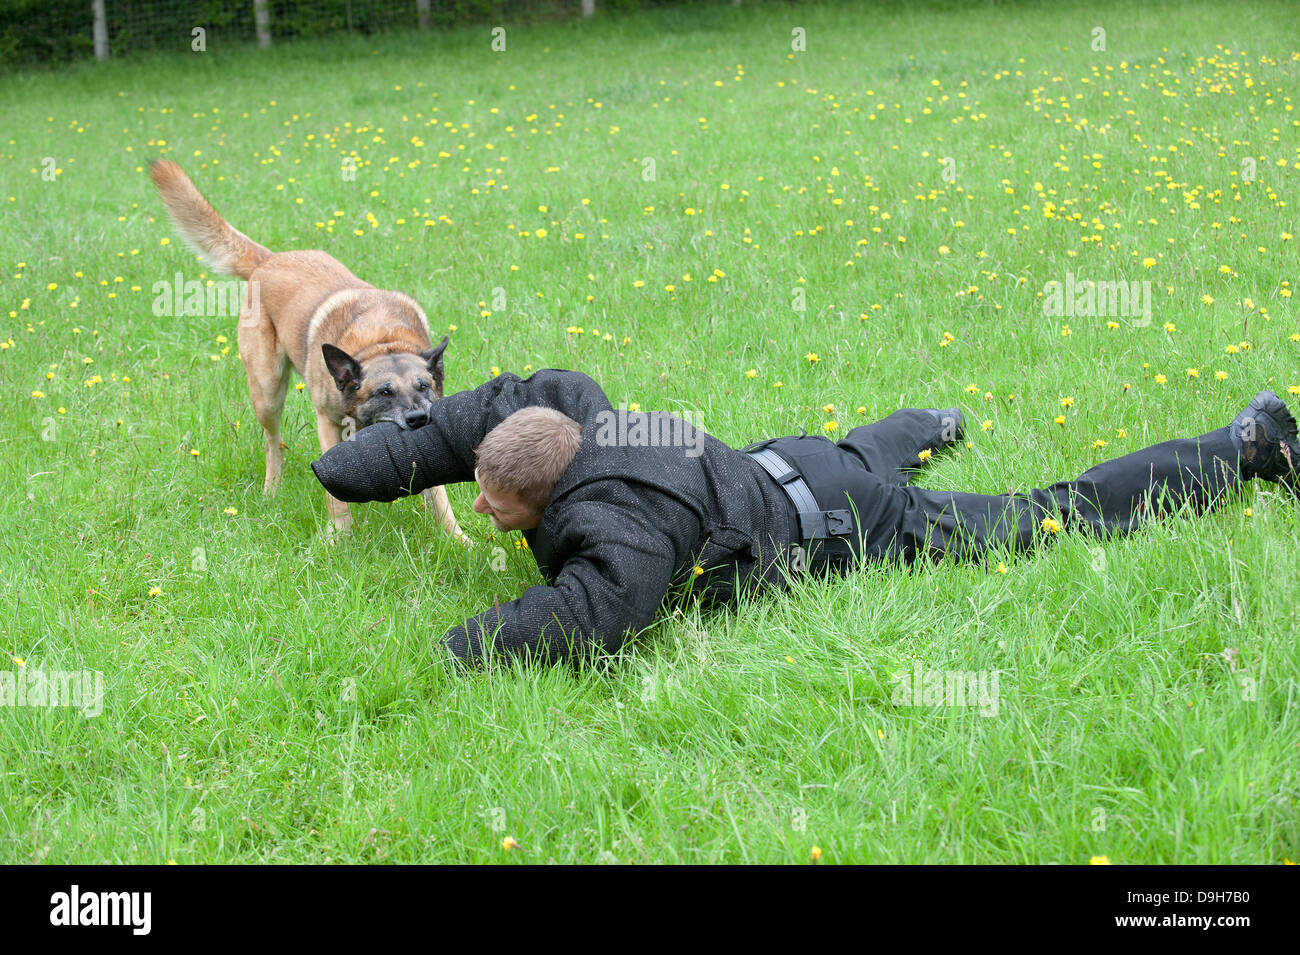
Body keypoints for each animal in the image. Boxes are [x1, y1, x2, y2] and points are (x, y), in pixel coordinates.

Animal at [149, 160, 465, 540]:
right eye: (384, 392)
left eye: (424, 386)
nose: (418, 418)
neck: (381, 341)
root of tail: (269, 260)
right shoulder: (327, 424)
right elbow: (336, 497)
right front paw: (339, 536)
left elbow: (439, 495)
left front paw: (458, 538)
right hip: (267, 393)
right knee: (272, 445)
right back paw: (272, 489)